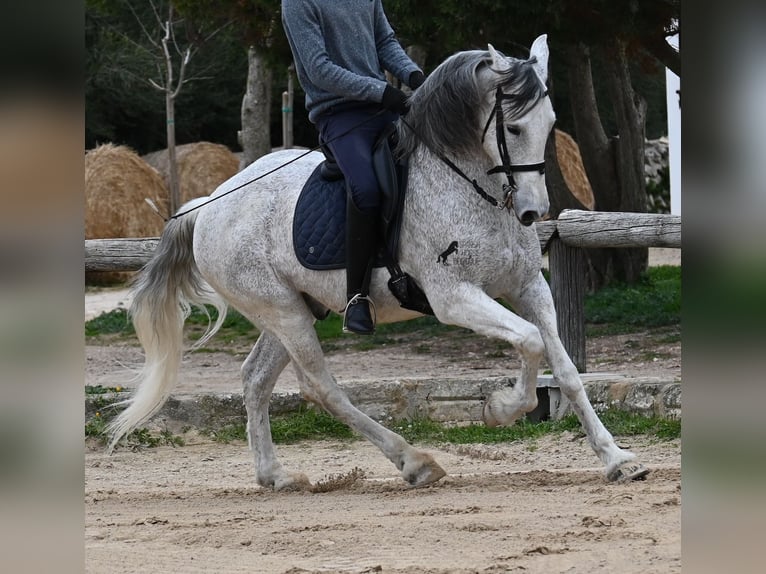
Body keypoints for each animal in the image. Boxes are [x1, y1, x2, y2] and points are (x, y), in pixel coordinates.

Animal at [106, 37, 648, 490]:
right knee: (319, 387)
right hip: (282, 311)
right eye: (512, 127)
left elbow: (565, 366)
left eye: (551, 124)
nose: (534, 211)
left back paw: (276, 476)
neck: (469, 186)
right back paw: (414, 462)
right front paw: (500, 408)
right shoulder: (454, 298)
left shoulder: (528, 285)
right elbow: (532, 342)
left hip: (293, 310)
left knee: (256, 378)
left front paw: (617, 459)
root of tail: (207, 205)